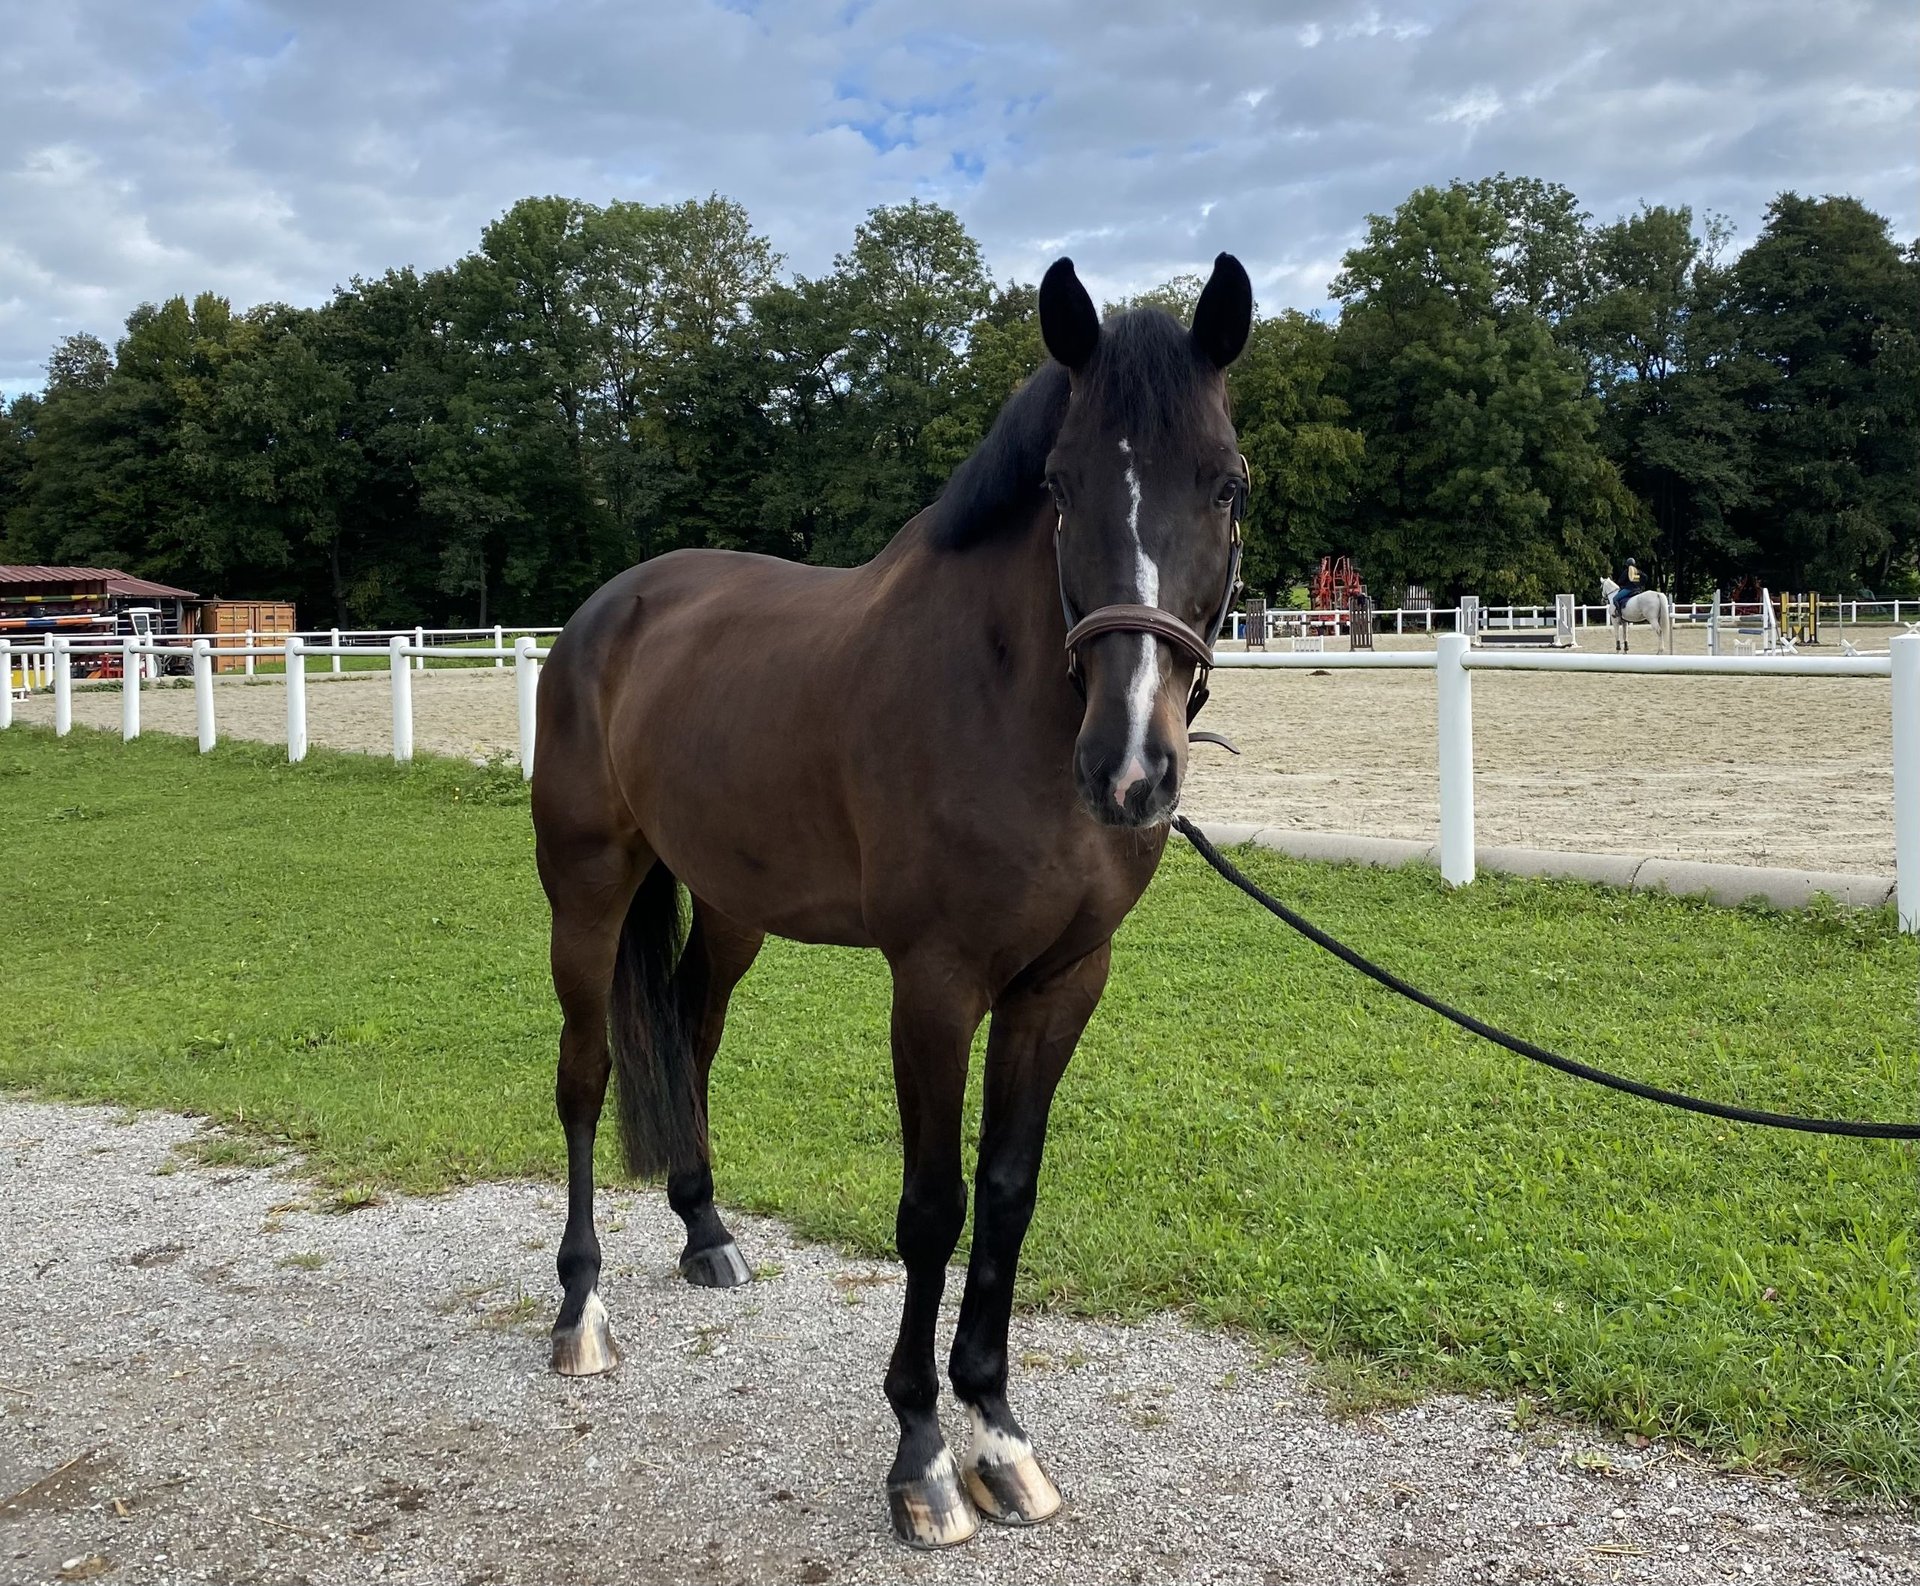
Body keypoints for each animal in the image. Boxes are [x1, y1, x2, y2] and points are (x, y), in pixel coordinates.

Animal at [533, 253, 1259, 1536]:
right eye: (1060, 486)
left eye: (1226, 483)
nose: (1131, 770)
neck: (1007, 703)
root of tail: (603, 615)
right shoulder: (935, 985)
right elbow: (932, 1206)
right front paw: (921, 1453)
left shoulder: (1061, 983)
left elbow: (1007, 1192)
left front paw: (1000, 1431)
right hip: (587, 890)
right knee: (586, 1074)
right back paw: (582, 1313)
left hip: (729, 908)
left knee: (689, 1035)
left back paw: (707, 1230)